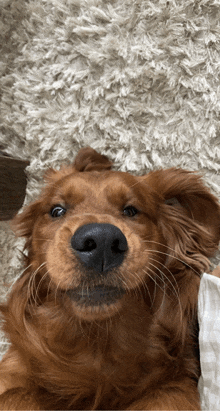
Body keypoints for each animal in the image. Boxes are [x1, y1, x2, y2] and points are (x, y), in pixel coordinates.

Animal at [0, 147, 220, 408]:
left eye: (131, 211)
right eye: (57, 211)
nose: (101, 240)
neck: (97, 346)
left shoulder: (175, 384)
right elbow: (16, 395)